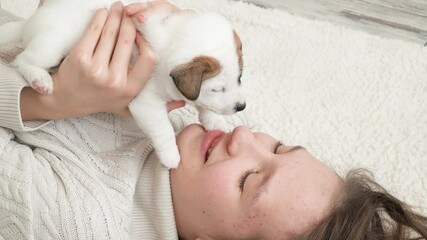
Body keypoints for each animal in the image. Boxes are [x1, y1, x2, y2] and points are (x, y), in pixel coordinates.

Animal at [0, 0, 244, 168]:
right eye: (217, 88)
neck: (173, 39)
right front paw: (171, 155)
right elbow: (163, 128)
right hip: (52, 46)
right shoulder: (147, 104)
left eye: (240, 78)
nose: (241, 107)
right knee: (22, 61)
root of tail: (30, 23)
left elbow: (205, 106)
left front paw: (215, 121)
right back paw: (40, 80)